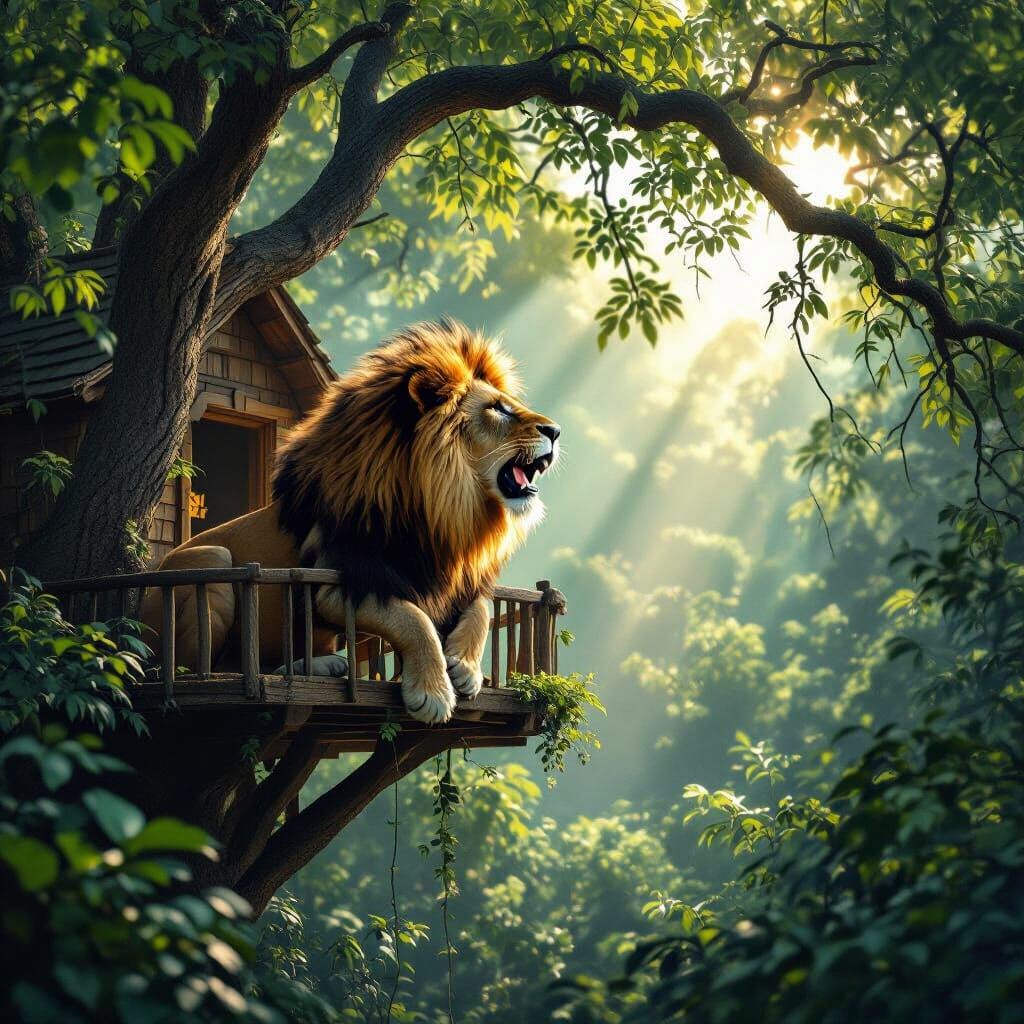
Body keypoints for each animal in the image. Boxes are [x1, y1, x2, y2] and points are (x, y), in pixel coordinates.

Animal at [140, 319, 561, 724]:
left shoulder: (452, 579)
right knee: (202, 669)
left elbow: (481, 609)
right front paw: (432, 693)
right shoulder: (340, 583)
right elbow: (413, 619)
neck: (443, 515)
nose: (555, 431)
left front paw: (465, 668)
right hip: (213, 561)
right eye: (498, 409)